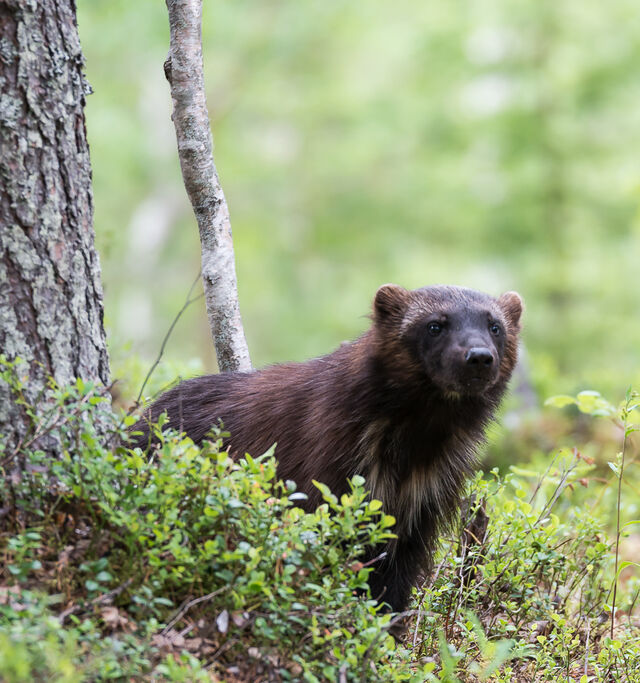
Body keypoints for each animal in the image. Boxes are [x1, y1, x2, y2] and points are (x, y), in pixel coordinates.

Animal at [131, 284, 523, 613]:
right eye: (435, 325)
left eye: (494, 326)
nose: (478, 357)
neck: (412, 444)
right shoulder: (326, 480)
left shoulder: (422, 502)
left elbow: (394, 583)